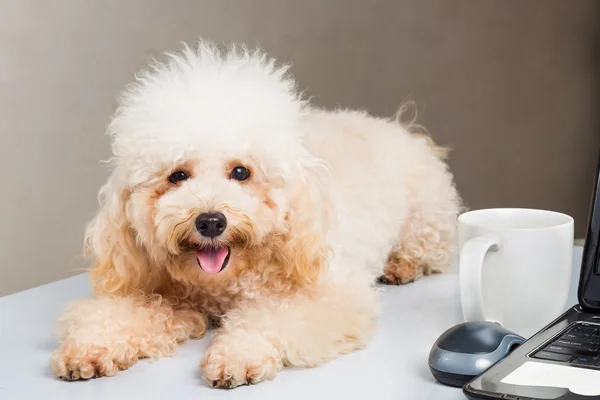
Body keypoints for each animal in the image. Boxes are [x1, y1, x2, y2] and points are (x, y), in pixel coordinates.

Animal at [51, 40, 462, 388]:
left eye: (241, 172)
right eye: (177, 176)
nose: (210, 221)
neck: (223, 285)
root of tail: (403, 127)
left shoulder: (328, 295)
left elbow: (271, 318)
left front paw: (237, 354)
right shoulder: (161, 293)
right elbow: (120, 313)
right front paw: (92, 345)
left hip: (427, 220)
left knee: (428, 251)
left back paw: (402, 265)